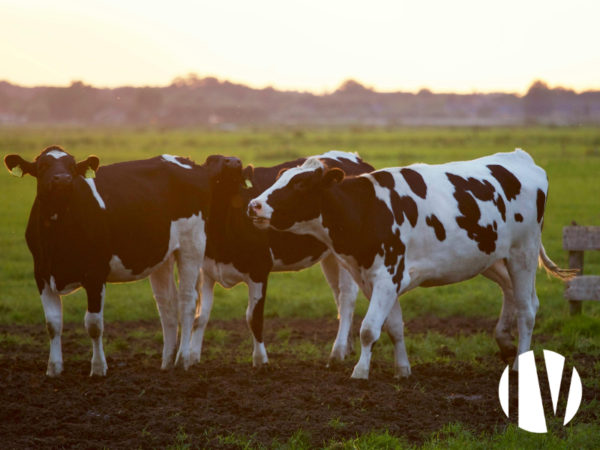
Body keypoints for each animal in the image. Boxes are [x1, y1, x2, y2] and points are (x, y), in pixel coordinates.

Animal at [3, 148, 241, 376]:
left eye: (71, 166)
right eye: (42, 166)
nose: (62, 179)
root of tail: (191, 163)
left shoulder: (95, 274)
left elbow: (94, 324)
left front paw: (98, 368)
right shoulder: (41, 274)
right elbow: (52, 324)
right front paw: (53, 369)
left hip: (192, 245)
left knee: (187, 302)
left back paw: (182, 359)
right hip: (162, 256)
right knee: (167, 305)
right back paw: (167, 362)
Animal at [189, 151, 376, 366]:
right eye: (211, 160)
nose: (235, 161)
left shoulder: (259, 269)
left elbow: (254, 317)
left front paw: (260, 360)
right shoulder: (206, 270)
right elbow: (201, 316)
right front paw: (191, 358)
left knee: (346, 299)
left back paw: (337, 352)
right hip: (331, 256)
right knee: (338, 296)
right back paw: (347, 347)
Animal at [248, 149, 576, 378]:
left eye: (301, 184)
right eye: (279, 178)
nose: (254, 205)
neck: (368, 209)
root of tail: (520, 157)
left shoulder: (387, 275)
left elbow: (369, 329)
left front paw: (360, 371)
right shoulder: (376, 279)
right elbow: (393, 327)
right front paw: (402, 369)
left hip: (523, 252)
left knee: (527, 310)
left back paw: (520, 363)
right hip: (491, 257)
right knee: (515, 294)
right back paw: (504, 342)